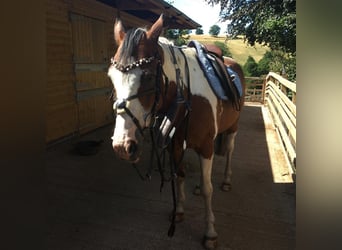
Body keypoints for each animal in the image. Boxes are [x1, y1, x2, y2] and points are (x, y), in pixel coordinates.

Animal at [108, 14, 244, 250]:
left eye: (147, 76)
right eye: (111, 77)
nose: (122, 146)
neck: (185, 95)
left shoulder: (206, 146)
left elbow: (208, 190)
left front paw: (210, 232)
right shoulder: (175, 145)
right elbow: (179, 176)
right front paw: (179, 211)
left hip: (232, 128)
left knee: (229, 150)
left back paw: (226, 180)